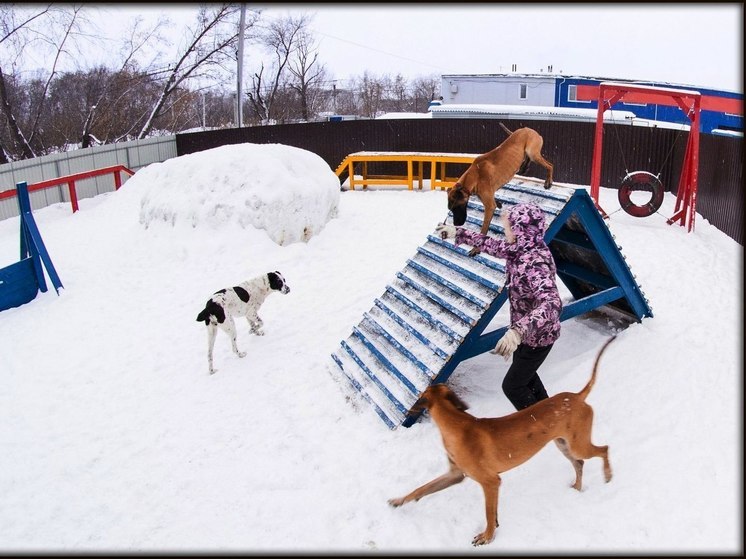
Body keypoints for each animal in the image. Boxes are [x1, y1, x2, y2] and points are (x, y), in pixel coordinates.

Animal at [386, 336, 612, 548]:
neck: (456, 423)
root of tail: (576, 396)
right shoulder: (455, 475)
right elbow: (422, 489)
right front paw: (399, 501)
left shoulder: (491, 482)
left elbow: (488, 513)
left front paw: (486, 537)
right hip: (563, 444)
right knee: (579, 463)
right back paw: (577, 487)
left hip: (579, 445)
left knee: (604, 449)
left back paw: (608, 475)